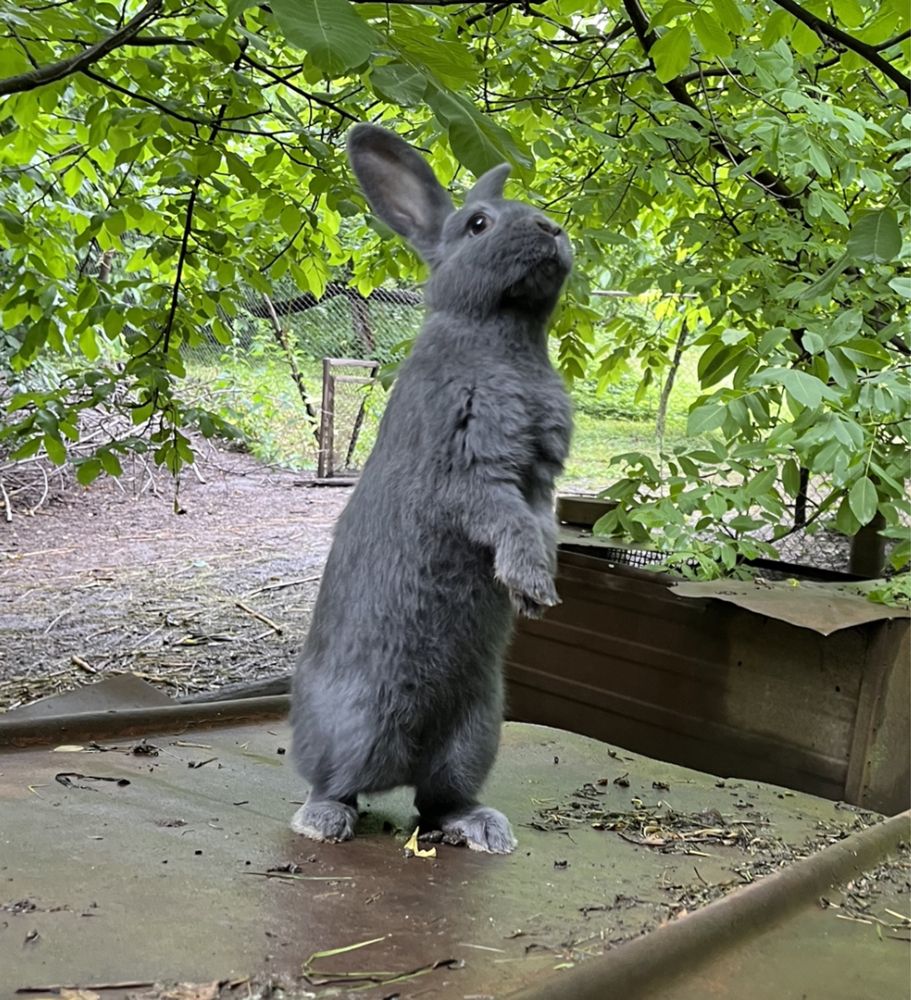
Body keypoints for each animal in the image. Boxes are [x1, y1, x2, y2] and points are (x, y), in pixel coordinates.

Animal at [292, 125, 572, 856]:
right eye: (477, 224)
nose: (552, 229)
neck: (502, 334)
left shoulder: (539, 483)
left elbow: (540, 522)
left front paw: (537, 589)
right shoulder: (467, 472)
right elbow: (504, 518)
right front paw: (533, 585)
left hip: (475, 732)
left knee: (437, 799)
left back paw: (482, 828)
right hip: (355, 724)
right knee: (332, 782)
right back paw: (323, 821)